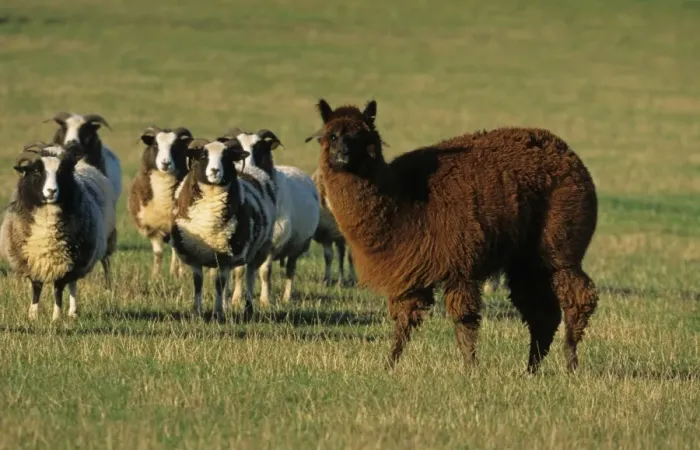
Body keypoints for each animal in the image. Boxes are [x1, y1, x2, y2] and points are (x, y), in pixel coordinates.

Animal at [0, 142, 115, 321]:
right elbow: (36, 287)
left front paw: (56, 317)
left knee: (73, 283)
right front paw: (33, 315)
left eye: (61, 173)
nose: (51, 191)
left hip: (89, 251)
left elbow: (58, 289)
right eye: (37, 172)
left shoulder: (67, 260)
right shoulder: (32, 259)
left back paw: (73, 312)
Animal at [128, 126, 193, 278]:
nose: (165, 163)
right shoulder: (153, 228)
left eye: (175, 147)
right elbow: (158, 254)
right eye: (155, 145)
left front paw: (181, 275)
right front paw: (155, 277)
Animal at [170, 137, 276, 319]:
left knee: (250, 277)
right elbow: (198, 283)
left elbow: (219, 284)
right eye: (202, 156)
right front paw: (197, 312)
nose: (214, 171)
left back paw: (248, 309)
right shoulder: (194, 255)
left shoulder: (226, 256)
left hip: (259, 250)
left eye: (226, 157)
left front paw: (218, 313)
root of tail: (253, 170)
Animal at [215, 128, 320, 305]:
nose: (248, 167)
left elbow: (265, 272)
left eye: (260, 148)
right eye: (235, 149)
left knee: (290, 271)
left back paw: (286, 297)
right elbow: (239, 271)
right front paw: (236, 298)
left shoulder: (272, 243)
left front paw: (265, 301)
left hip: (298, 245)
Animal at [305, 98, 599, 374]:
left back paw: (570, 363)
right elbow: (404, 322)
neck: (403, 201)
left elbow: (463, 320)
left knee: (578, 297)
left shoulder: (459, 264)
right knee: (541, 312)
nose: (341, 155)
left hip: (559, 242)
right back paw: (531, 370)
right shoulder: (411, 274)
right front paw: (388, 366)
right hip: (526, 257)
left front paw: (470, 370)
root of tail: (568, 154)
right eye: (330, 136)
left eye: (359, 135)